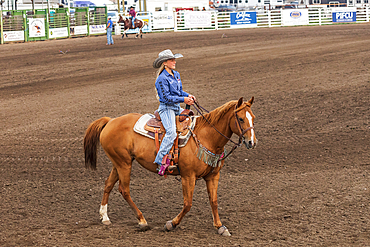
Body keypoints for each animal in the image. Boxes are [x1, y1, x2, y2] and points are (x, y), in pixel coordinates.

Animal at [84, 96, 258, 235]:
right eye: (240, 119)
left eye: (253, 118)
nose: (252, 142)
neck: (206, 136)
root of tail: (110, 121)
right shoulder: (188, 176)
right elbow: (187, 204)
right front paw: (171, 224)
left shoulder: (213, 176)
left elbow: (214, 201)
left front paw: (220, 227)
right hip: (124, 164)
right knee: (124, 189)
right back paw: (142, 221)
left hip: (120, 162)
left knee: (108, 184)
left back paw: (105, 217)